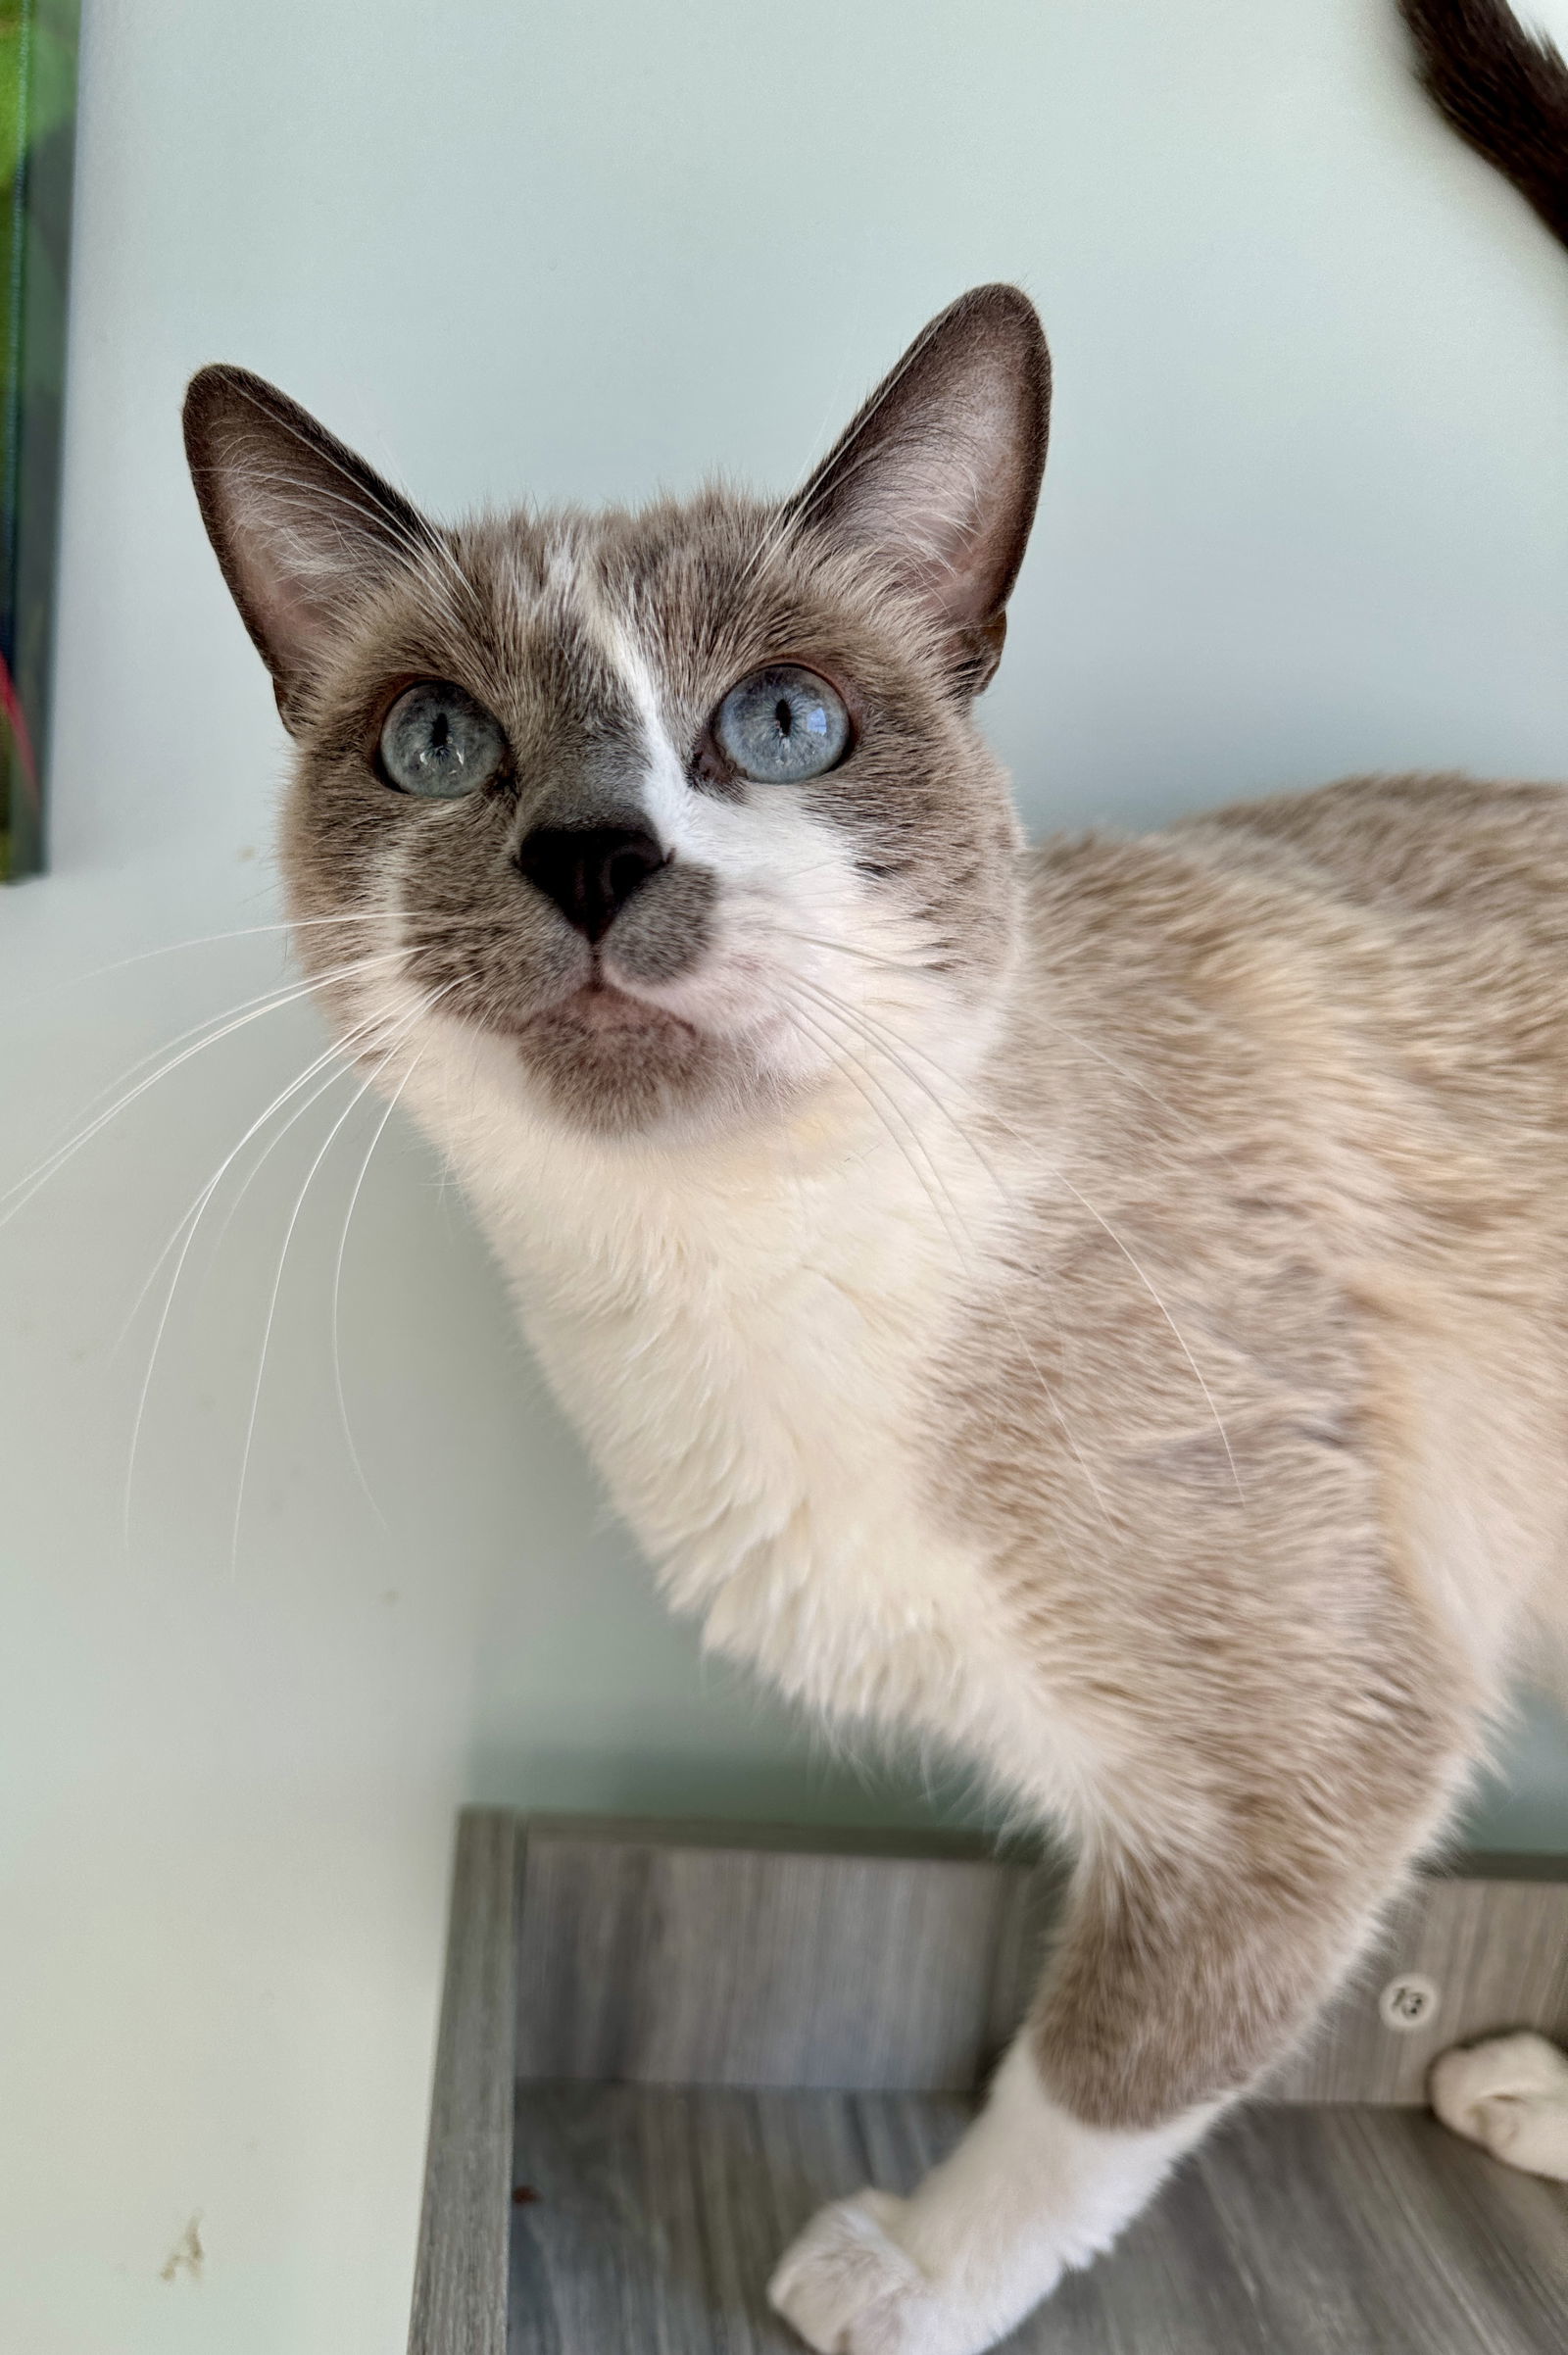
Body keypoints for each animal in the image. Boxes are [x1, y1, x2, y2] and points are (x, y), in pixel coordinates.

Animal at [179, 4, 1563, 2355]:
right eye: (441, 744)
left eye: (784, 725)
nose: (591, 858)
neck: (725, 1277)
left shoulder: (1298, 1784)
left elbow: (1087, 2083)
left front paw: (904, 2273)